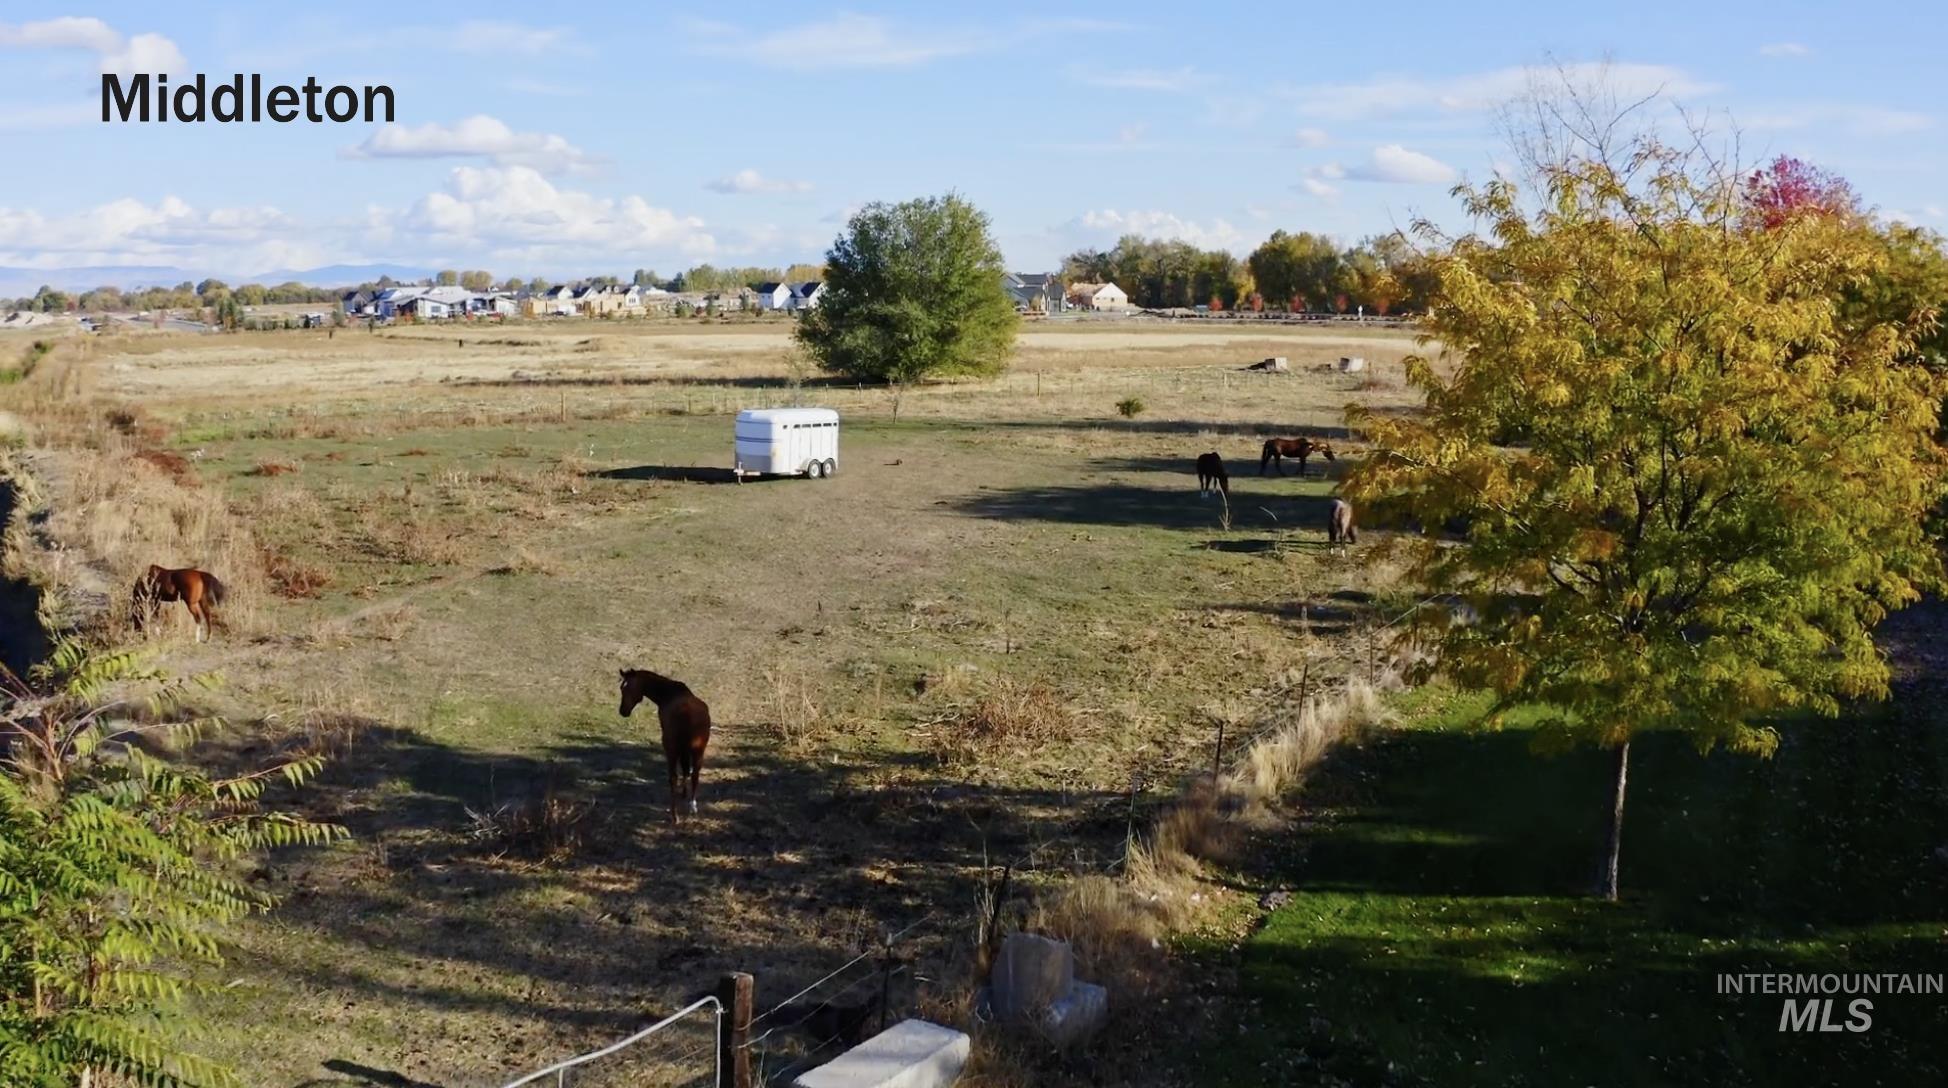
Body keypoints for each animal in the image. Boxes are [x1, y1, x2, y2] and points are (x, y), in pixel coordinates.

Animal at [618, 669, 712, 825]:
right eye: (621, 688)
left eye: (627, 688)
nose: (622, 711)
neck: (669, 693)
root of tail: (686, 714)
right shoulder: (686, 750)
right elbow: (686, 769)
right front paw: (684, 793)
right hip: (699, 750)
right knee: (695, 775)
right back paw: (692, 807)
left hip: (671, 750)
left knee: (673, 778)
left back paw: (674, 815)